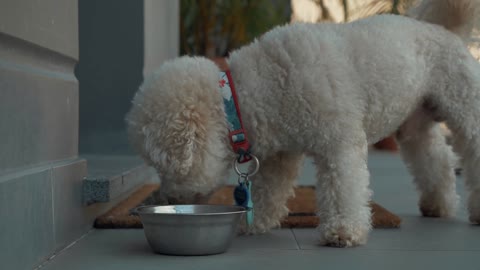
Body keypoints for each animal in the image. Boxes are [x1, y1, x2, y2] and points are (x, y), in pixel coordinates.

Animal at [125, 0, 480, 248]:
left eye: (160, 166)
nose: (163, 200)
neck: (250, 91)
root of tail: (443, 29)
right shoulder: (280, 152)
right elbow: (269, 190)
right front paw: (254, 222)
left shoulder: (340, 142)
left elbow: (343, 187)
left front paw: (343, 231)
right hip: (414, 121)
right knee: (435, 159)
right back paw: (438, 204)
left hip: (463, 104)